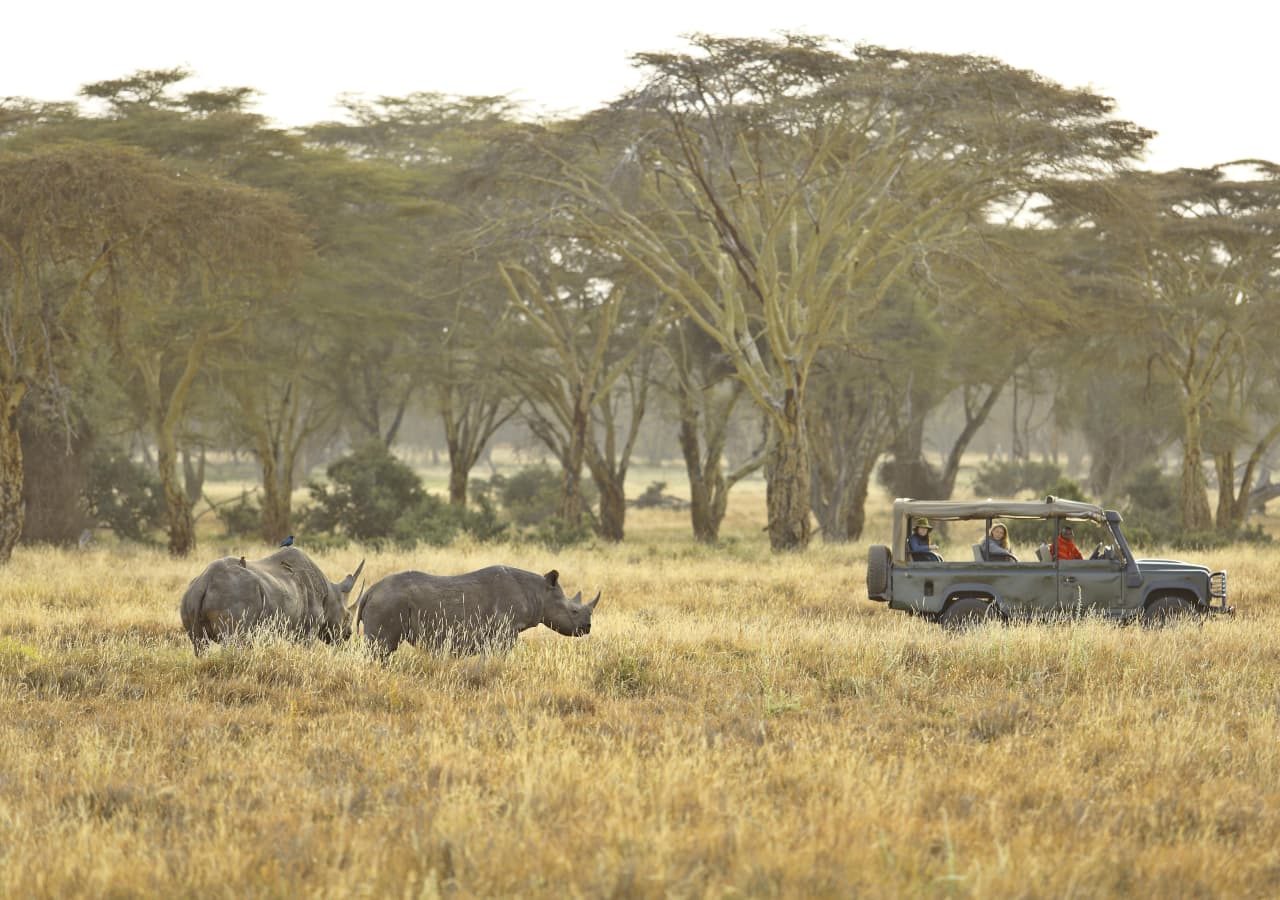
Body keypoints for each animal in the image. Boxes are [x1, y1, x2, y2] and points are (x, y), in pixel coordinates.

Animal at [179, 545, 366, 660]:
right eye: (347, 616)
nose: (348, 635)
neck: (330, 596)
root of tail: (206, 580)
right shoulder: (308, 630)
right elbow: (306, 649)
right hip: (234, 592)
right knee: (232, 641)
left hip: (190, 596)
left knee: (200, 645)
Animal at [355, 565, 599, 660]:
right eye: (574, 611)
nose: (587, 628)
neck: (539, 591)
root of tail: (369, 592)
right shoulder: (505, 631)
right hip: (387, 601)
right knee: (381, 648)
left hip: (386, 600)